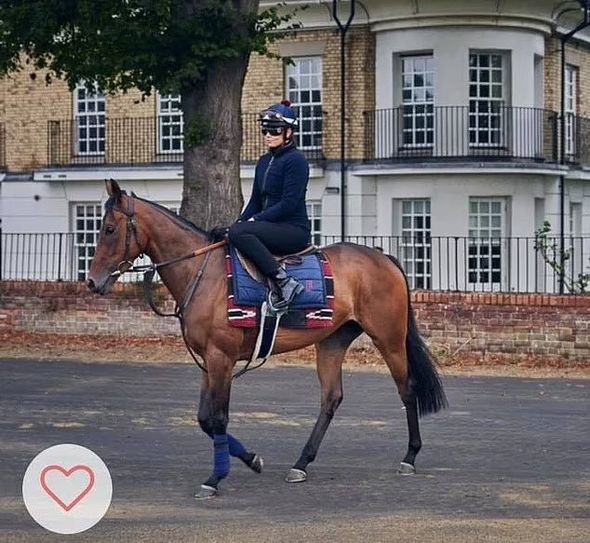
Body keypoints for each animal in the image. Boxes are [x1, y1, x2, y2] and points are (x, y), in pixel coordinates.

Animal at [88, 179, 447, 499]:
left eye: (109, 229)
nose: (92, 281)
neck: (204, 273)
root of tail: (382, 257)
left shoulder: (221, 358)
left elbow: (218, 419)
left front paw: (215, 478)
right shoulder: (208, 361)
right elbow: (205, 419)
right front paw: (251, 459)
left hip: (389, 339)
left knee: (407, 389)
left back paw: (410, 456)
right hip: (332, 342)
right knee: (331, 398)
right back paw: (302, 462)